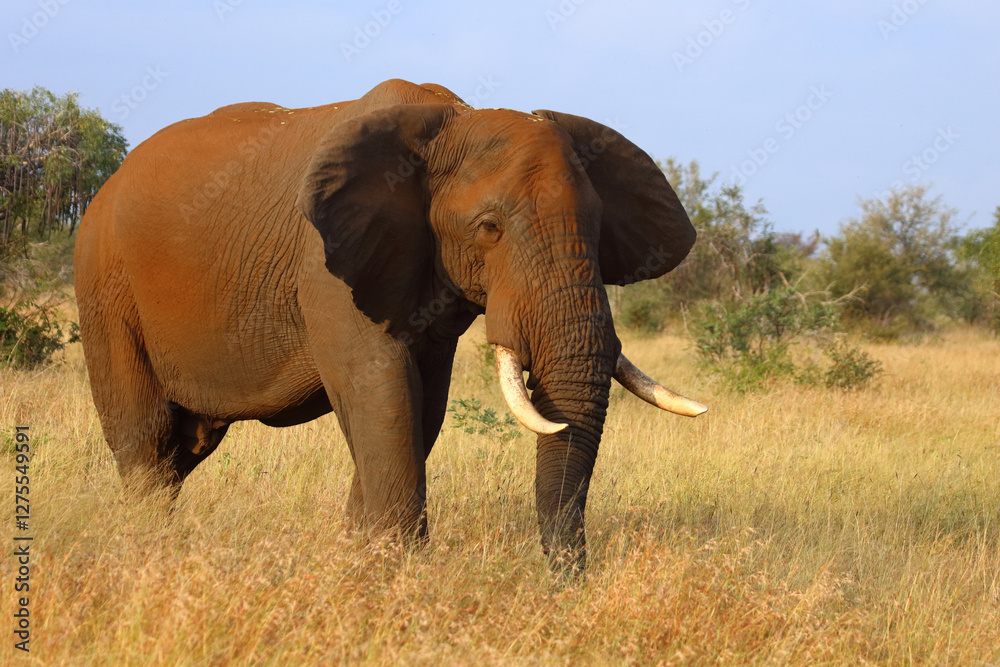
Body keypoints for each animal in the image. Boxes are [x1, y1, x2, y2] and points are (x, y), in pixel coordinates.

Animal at [74, 79, 707, 568]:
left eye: (599, 229)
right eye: (489, 228)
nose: (563, 584)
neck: (450, 120)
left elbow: (419, 409)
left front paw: (360, 559)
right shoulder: (324, 268)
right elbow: (382, 391)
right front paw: (392, 573)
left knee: (185, 447)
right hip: (104, 284)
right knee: (146, 440)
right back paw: (146, 552)